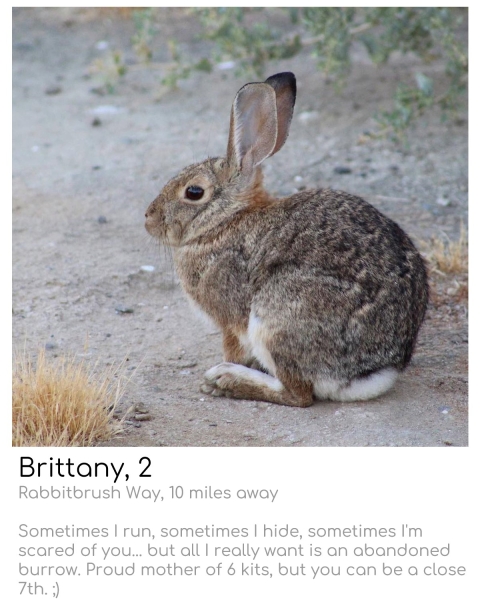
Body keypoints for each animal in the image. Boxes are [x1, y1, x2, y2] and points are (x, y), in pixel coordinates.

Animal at [145, 71, 428, 408]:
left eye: (194, 192)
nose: (148, 219)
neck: (225, 221)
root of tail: (369, 372)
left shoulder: (230, 320)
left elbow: (233, 348)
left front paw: (228, 368)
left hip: (276, 317)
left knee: (299, 394)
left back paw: (226, 380)